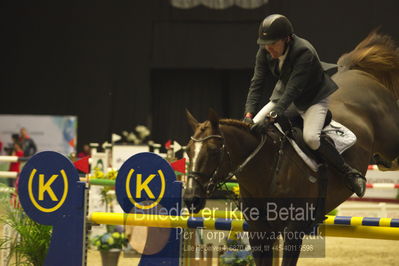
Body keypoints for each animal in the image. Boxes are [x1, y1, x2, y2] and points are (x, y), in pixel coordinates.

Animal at [184, 31, 399, 266]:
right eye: (188, 151)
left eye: (214, 150)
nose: (190, 199)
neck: (268, 171)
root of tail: (358, 72)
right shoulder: (259, 232)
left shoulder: (294, 229)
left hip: (391, 140)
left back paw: (358, 178)